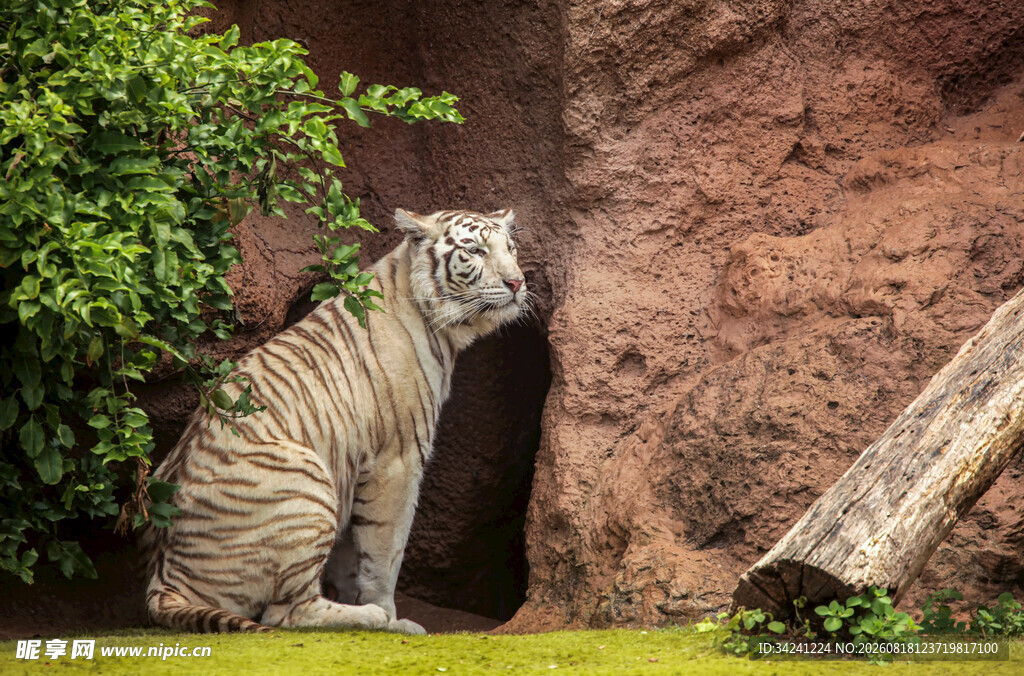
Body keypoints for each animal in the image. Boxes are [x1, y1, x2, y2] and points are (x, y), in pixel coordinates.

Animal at [141, 208, 527, 634]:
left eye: (510, 248)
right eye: (475, 251)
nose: (517, 282)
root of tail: (164, 578)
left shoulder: (353, 466)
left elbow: (351, 557)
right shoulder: (398, 461)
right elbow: (385, 553)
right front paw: (391, 617)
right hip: (306, 486)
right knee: (286, 614)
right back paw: (370, 618)